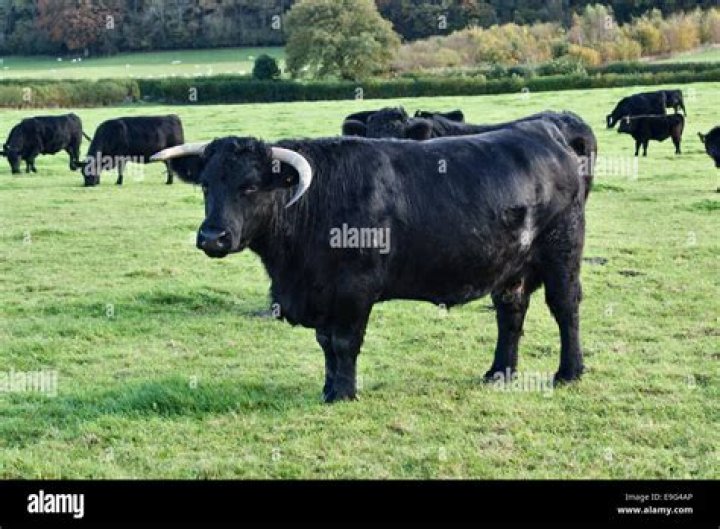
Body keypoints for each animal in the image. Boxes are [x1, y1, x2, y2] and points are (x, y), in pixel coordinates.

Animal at [151, 120, 588, 403]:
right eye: (206, 184)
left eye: (250, 186)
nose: (212, 237)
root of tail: (547, 133)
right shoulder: (322, 294)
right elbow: (325, 343)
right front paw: (329, 388)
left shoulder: (353, 291)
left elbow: (344, 343)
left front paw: (343, 394)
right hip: (511, 266)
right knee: (511, 312)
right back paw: (499, 373)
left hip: (562, 252)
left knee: (565, 307)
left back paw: (568, 373)